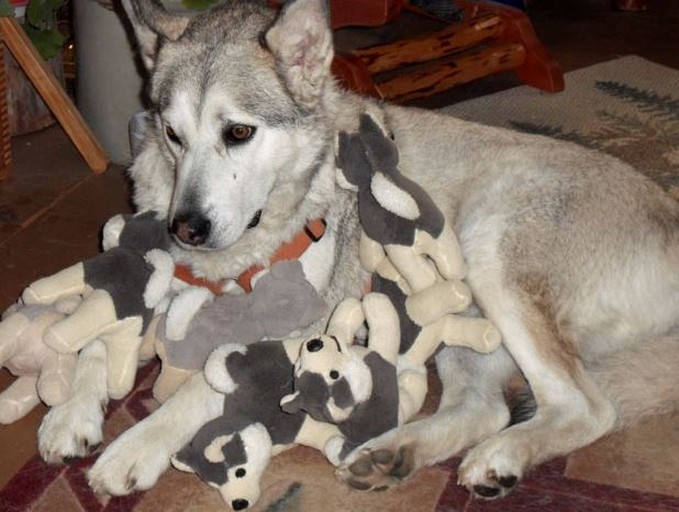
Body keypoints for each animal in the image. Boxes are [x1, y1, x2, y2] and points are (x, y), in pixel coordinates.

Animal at [35, 0, 679, 500]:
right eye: (174, 135)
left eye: (238, 132)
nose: (186, 229)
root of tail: (669, 216)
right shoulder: (160, 275)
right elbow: (100, 330)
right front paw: (69, 414)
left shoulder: (302, 327)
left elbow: (202, 384)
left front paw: (134, 447)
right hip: (460, 320)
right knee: (485, 407)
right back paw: (394, 454)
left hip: (489, 247)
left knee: (586, 408)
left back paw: (500, 457)